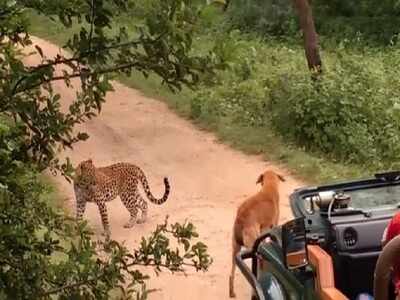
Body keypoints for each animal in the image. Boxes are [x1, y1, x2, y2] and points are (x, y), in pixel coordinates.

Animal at [228, 169, 284, 298]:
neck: (269, 187)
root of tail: (240, 220)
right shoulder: (270, 227)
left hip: (235, 249)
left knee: (231, 274)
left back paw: (232, 292)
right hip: (253, 245)